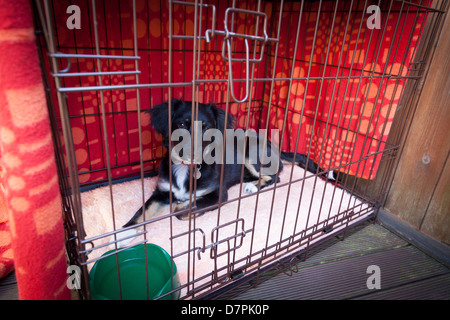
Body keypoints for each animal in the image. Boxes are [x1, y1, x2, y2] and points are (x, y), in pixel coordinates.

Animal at [123, 99, 320, 226]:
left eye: (207, 128)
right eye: (181, 125)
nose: (192, 152)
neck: (186, 169)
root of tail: (276, 146)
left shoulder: (219, 194)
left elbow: (183, 209)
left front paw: (184, 204)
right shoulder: (161, 192)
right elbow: (138, 217)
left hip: (251, 150)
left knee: (275, 177)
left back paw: (252, 186)